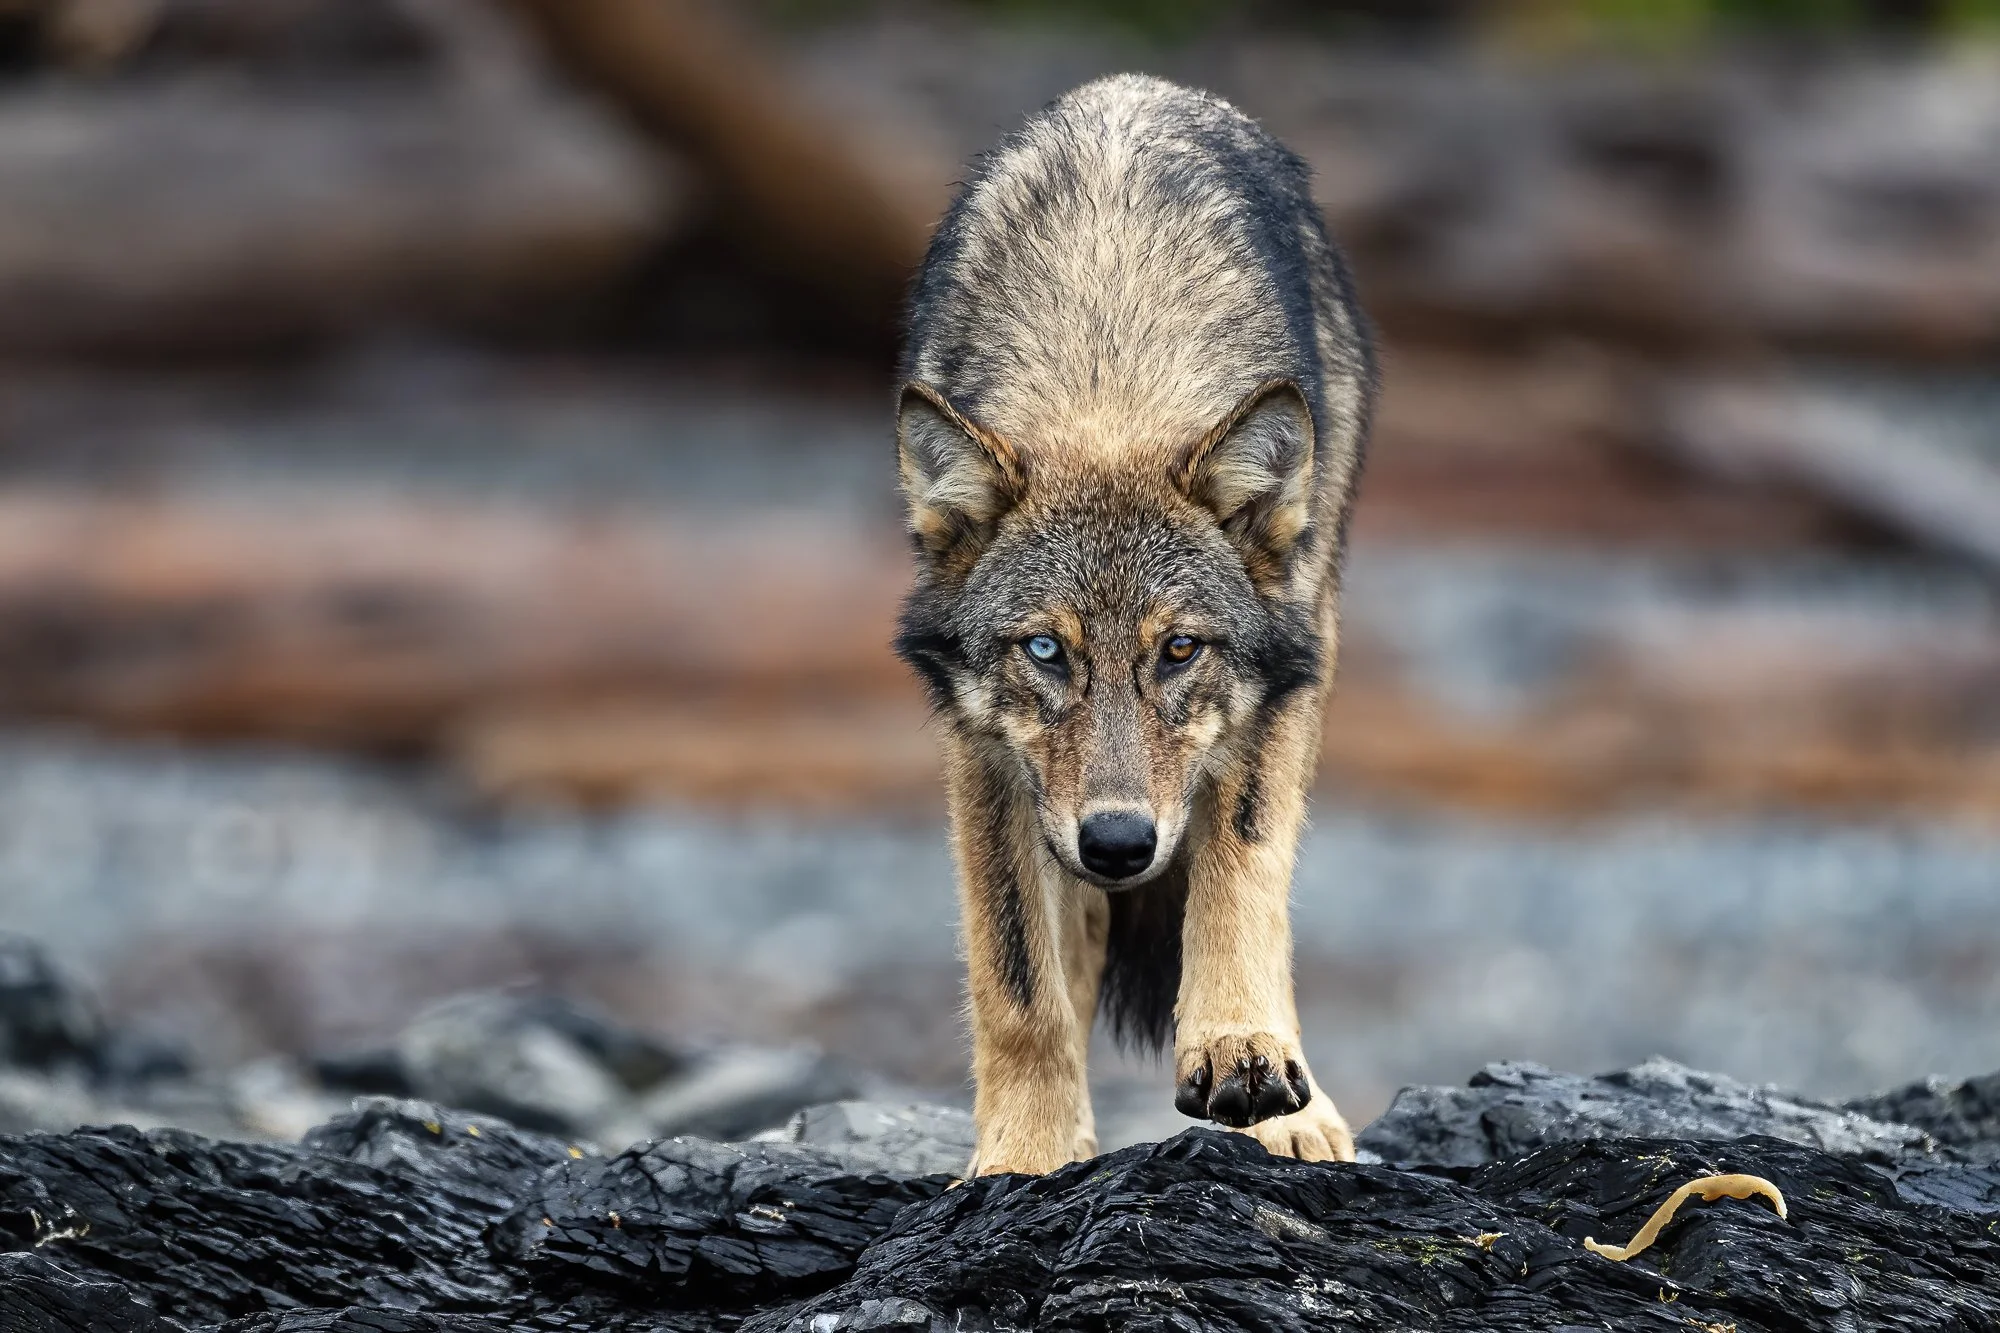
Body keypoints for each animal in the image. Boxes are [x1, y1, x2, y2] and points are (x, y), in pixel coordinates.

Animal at [893, 74, 1375, 1176]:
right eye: (1044, 650)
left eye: (1179, 649)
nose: (1118, 842)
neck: (1109, 372)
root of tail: (1139, 85)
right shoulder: (982, 744)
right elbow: (1018, 979)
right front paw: (1028, 1151)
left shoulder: (1279, 680)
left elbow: (1241, 871)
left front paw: (1247, 1057)